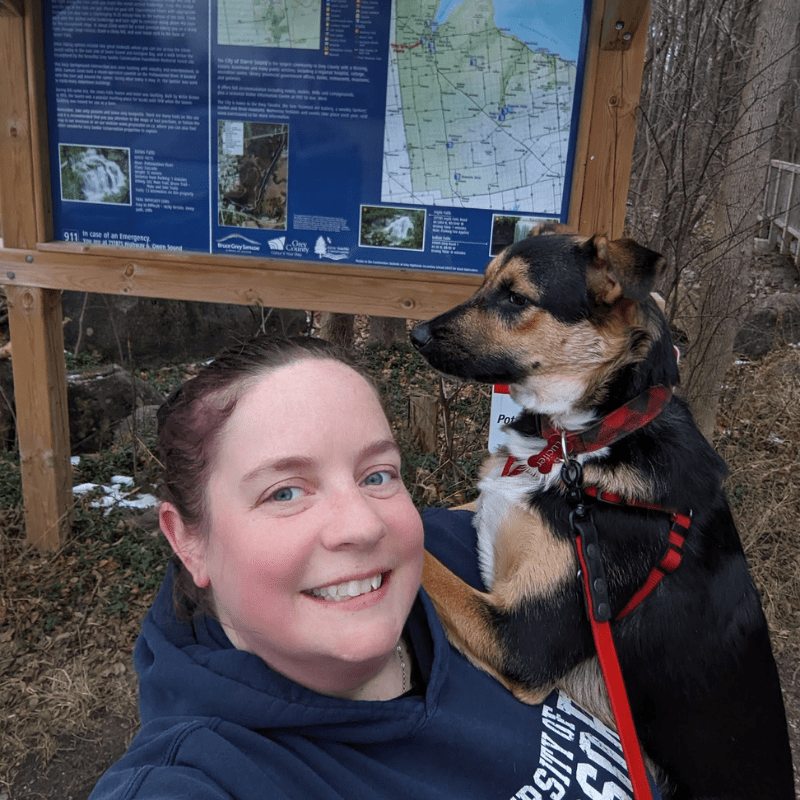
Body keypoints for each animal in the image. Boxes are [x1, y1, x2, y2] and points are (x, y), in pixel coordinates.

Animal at [412, 225, 792, 800]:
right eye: (484, 283)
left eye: (516, 298)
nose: (415, 334)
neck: (577, 445)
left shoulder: (523, 639)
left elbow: (418, 551)